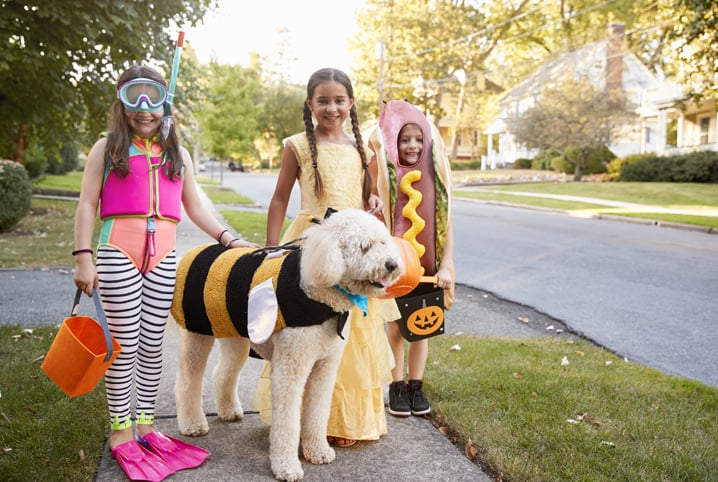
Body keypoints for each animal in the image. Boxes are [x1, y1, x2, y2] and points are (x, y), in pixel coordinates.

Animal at [170, 210, 404, 482]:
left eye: (383, 242)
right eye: (364, 246)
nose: (392, 264)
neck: (316, 292)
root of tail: (188, 255)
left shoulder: (324, 366)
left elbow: (317, 412)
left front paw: (318, 451)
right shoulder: (291, 366)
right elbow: (288, 420)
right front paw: (286, 466)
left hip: (234, 337)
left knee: (222, 374)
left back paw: (228, 411)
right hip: (196, 334)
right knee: (187, 382)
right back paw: (192, 424)